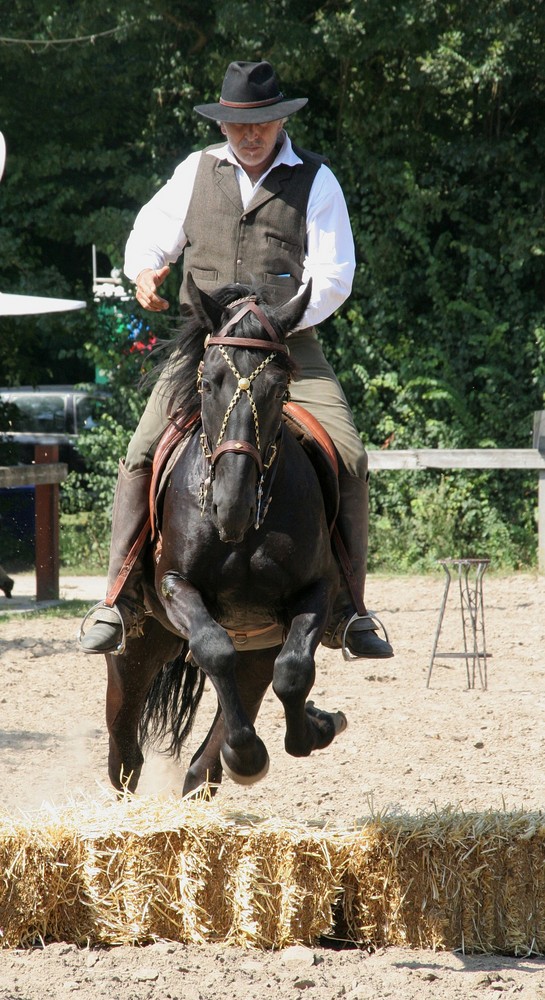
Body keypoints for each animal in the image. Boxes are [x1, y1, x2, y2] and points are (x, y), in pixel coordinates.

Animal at [104, 276, 346, 796]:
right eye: (208, 381)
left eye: (279, 389)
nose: (230, 506)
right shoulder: (176, 586)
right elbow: (214, 649)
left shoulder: (317, 590)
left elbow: (294, 672)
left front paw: (310, 730)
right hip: (134, 655)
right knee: (125, 754)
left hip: (258, 648)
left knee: (208, 756)